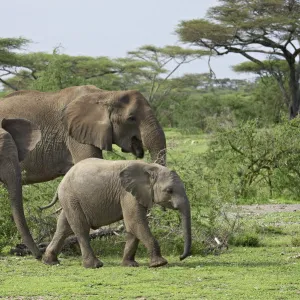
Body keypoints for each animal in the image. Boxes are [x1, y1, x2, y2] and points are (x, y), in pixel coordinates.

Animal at [42, 159, 192, 268]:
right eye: (169, 190)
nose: (180, 257)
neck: (149, 167)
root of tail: (62, 180)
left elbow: (132, 226)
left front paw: (130, 265)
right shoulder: (127, 194)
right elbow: (135, 222)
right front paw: (159, 264)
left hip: (70, 199)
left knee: (63, 227)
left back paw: (50, 262)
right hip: (71, 197)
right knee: (81, 228)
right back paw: (95, 265)